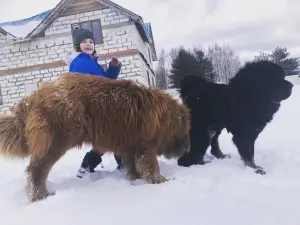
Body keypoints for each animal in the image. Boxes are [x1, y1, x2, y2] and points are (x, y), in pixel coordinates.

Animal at [0, 73, 190, 202]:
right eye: (187, 130)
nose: (187, 148)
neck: (163, 117)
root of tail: (32, 98)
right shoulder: (145, 145)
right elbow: (151, 165)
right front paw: (161, 181)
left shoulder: (131, 145)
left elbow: (133, 166)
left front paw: (136, 180)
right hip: (56, 140)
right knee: (37, 169)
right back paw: (41, 195)